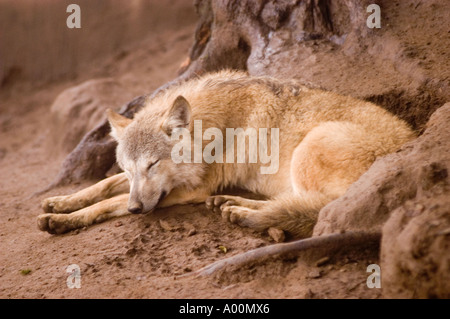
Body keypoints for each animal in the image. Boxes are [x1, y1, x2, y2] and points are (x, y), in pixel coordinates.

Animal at [37, 71, 414, 239]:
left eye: (153, 165)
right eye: (130, 169)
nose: (135, 209)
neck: (213, 127)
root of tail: (410, 143)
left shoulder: (191, 190)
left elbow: (108, 203)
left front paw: (64, 220)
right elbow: (102, 187)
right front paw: (61, 202)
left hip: (309, 149)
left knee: (318, 209)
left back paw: (247, 215)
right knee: (296, 205)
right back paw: (234, 207)